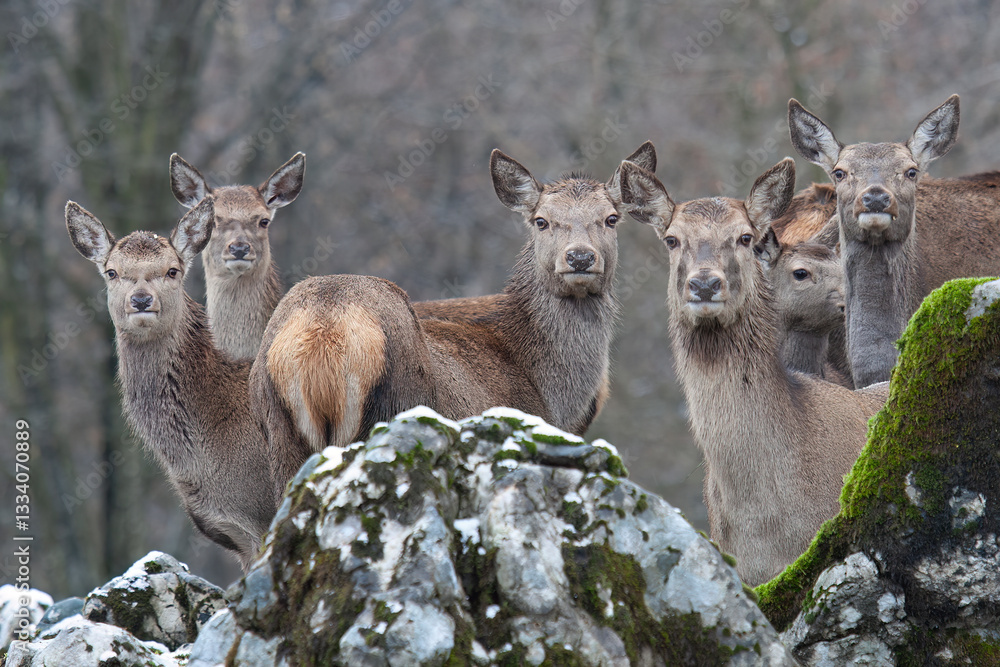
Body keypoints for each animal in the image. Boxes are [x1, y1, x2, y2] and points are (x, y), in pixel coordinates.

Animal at [251, 143, 656, 498]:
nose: (580, 257)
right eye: (541, 221)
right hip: (394, 408)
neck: (551, 395)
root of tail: (324, 327)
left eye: (611, 219)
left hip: (278, 431)